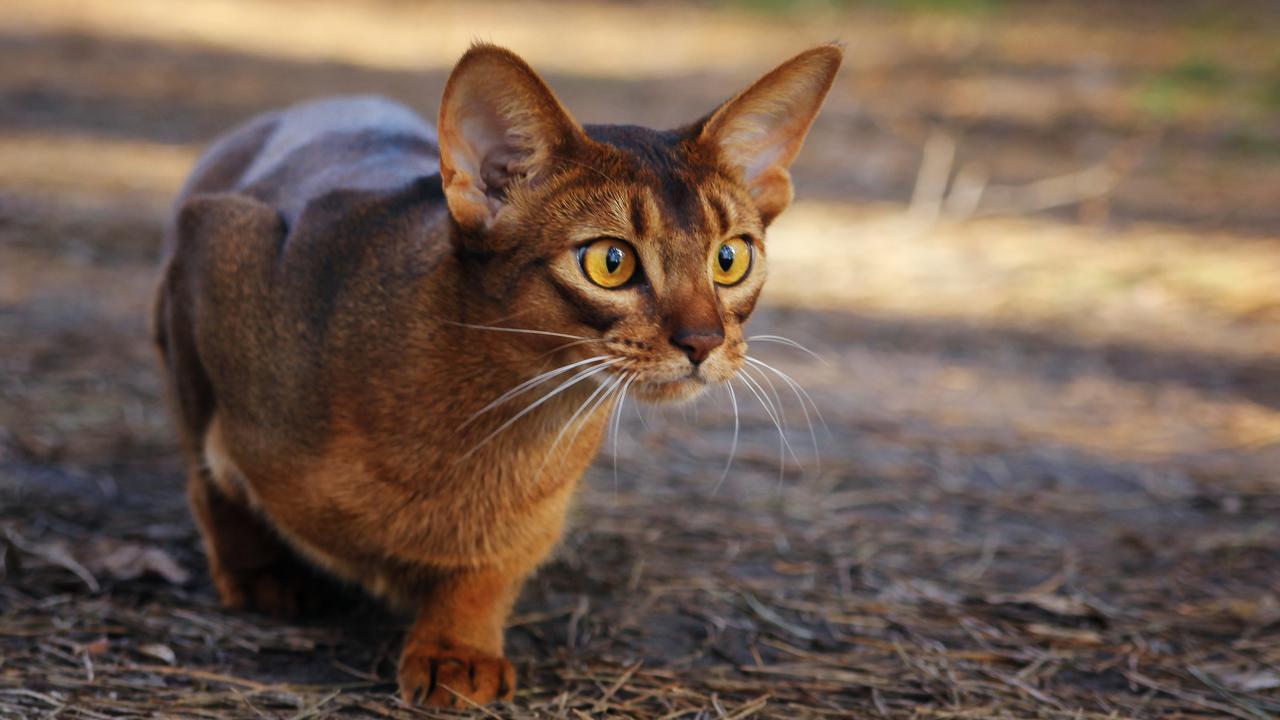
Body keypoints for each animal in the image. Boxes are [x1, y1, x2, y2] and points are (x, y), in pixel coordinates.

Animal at [152, 41, 839, 702]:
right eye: (610, 261)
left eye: (730, 258)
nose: (703, 341)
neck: (498, 417)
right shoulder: (217, 239)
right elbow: (209, 475)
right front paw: (255, 571)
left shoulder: (535, 516)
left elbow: (491, 569)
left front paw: (456, 649)